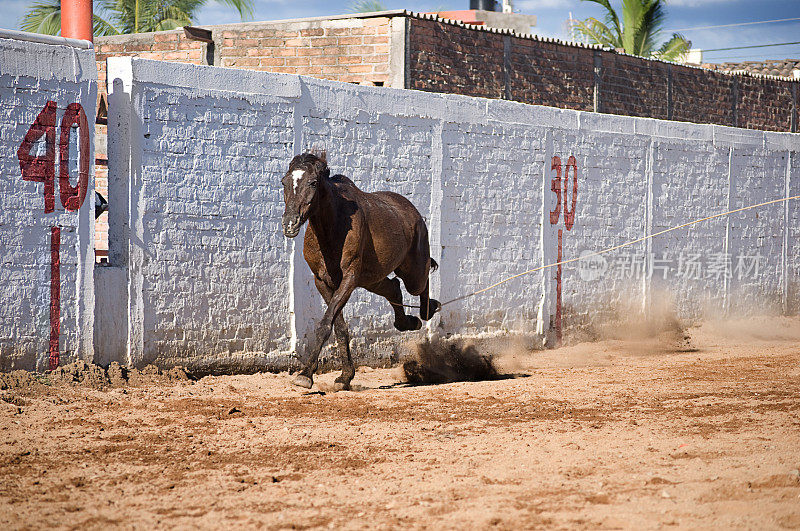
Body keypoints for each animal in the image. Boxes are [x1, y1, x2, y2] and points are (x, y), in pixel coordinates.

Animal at [282, 151, 444, 390]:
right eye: (284, 182)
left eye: (312, 183)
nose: (289, 223)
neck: (333, 227)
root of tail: (412, 212)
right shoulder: (323, 281)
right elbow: (338, 326)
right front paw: (344, 376)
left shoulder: (349, 278)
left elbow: (325, 324)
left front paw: (304, 375)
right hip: (372, 279)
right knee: (394, 288)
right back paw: (408, 321)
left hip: (411, 272)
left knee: (421, 284)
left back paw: (426, 310)